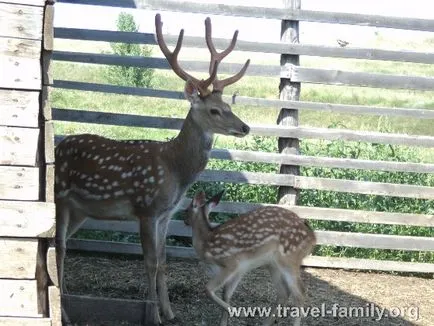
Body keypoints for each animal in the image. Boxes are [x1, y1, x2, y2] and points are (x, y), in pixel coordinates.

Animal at [54, 14, 251, 324]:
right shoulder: (146, 209)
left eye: (228, 106)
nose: (245, 127)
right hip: (61, 196)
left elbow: (163, 261)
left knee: (64, 244)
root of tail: (55, 149)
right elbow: (148, 262)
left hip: (81, 210)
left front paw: (169, 311)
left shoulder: (165, 214)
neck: (175, 169)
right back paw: (63, 311)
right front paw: (154, 315)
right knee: (59, 247)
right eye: (214, 110)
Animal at [185, 191, 318, 326]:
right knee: (283, 292)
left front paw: (240, 313)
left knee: (300, 293)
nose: (184, 219)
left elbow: (208, 289)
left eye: (186, 210)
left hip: (289, 258)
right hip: (273, 264)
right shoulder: (239, 270)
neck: (205, 245)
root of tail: (313, 238)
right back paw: (266, 323)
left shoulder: (231, 263)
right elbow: (226, 295)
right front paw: (224, 321)